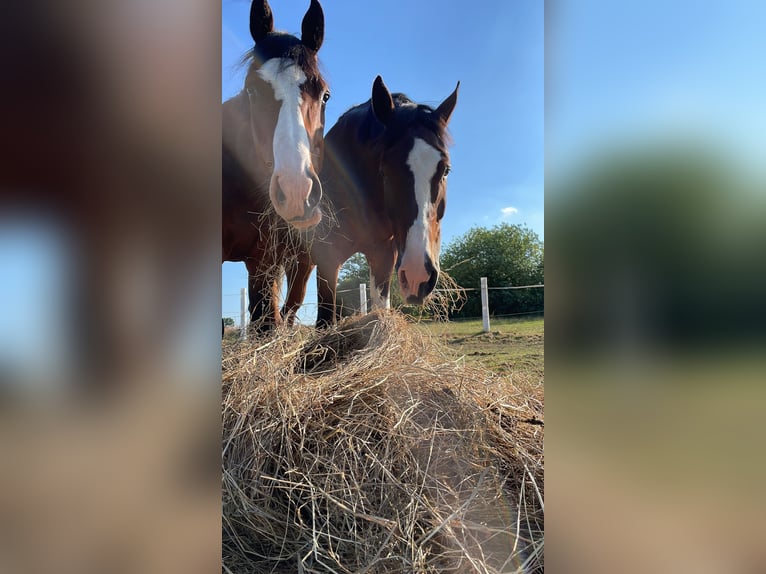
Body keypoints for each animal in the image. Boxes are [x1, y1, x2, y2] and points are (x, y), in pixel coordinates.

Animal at [286, 76, 460, 328]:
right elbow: (325, 321)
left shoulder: (384, 258)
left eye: (446, 169)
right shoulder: (329, 259)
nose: (418, 275)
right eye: (384, 170)